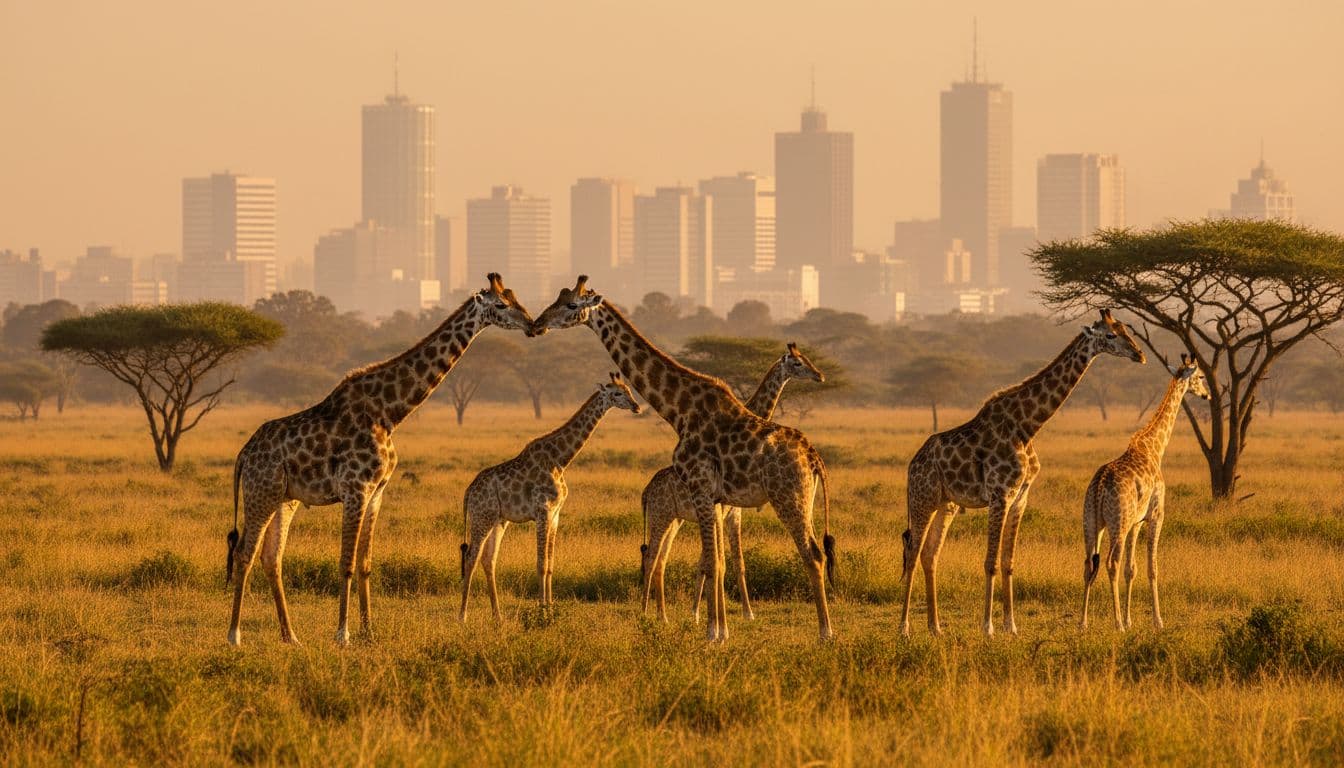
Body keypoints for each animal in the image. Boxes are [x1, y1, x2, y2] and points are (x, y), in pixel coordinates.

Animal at [225, 273, 535, 647]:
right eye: (501, 304)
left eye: (515, 298)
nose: (532, 324)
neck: (389, 413)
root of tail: (243, 454)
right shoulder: (355, 488)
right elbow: (345, 562)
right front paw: (342, 634)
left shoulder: (377, 493)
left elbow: (365, 563)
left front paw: (369, 630)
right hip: (261, 492)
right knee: (244, 553)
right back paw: (234, 635)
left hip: (285, 499)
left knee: (272, 557)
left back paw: (291, 636)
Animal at [458, 373, 642, 621]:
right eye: (616, 393)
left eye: (629, 390)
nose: (637, 407)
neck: (561, 460)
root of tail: (469, 492)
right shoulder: (542, 511)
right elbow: (541, 563)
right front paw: (542, 610)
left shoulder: (555, 514)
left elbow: (551, 564)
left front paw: (551, 608)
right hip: (481, 518)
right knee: (471, 558)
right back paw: (462, 616)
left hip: (498, 520)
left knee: (489, 560)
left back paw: (498, 616)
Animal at [640, 343, 825, 622]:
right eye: (797, 363)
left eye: (807, 359)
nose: (819, 376)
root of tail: (645, 492)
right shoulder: (725, 511)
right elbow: (715, 561)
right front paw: (702, 613)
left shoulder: (731, 513)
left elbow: (732, 561)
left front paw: (740, 612)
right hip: (661, 517)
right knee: (651, 556)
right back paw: (644, 611)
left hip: (675, 519)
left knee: (660, 558)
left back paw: (660, 614)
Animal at [900, 309, 1146, 637]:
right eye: (1110, 335)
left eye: (1125, 329)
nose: (1139, 354)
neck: (1027, 426)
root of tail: (912, 466)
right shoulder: (999, 495)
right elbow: (990, 561)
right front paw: (988, 626)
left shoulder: (1020, 497)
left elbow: (1008, 561)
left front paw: (1011, 625)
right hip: (922, 499)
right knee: (913, 554)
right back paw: (904, 627)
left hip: (946, 504)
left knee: (930, 554)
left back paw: (935, 627)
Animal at [1081, 354, 1209, 631]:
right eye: (1201, 376)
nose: (1207, 395)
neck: (1154, 447)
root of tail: (1100, 486)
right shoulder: (1156, 515)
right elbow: (1152, 567)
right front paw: (1157, 620)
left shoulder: (1136, 523)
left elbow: (1132, 569)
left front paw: (1131, 620)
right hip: (1117, 524)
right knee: (1111, 563)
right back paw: (1116, 623)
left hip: (1092, 522)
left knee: (1089, 564)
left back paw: (1082, 623)